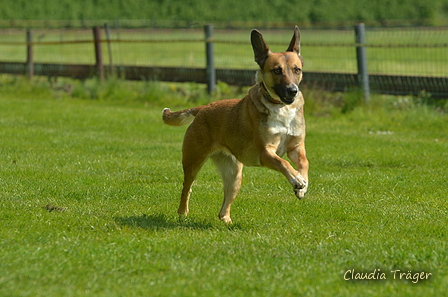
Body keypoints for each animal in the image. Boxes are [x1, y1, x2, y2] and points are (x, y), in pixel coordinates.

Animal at [164, 26, 308, 222]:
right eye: (277, 71)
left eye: (297, 70)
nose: (292, 91)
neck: (280, 107)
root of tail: (203, 109)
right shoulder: (266, 152)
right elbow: (283, 163)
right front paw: (297, 180)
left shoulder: (296, 147)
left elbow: (304, 163)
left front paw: (302, 185)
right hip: (193, 160)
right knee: (186, 188)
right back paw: (182, 213)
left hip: (234, 174)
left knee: (224, 205)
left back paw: (226, 220)